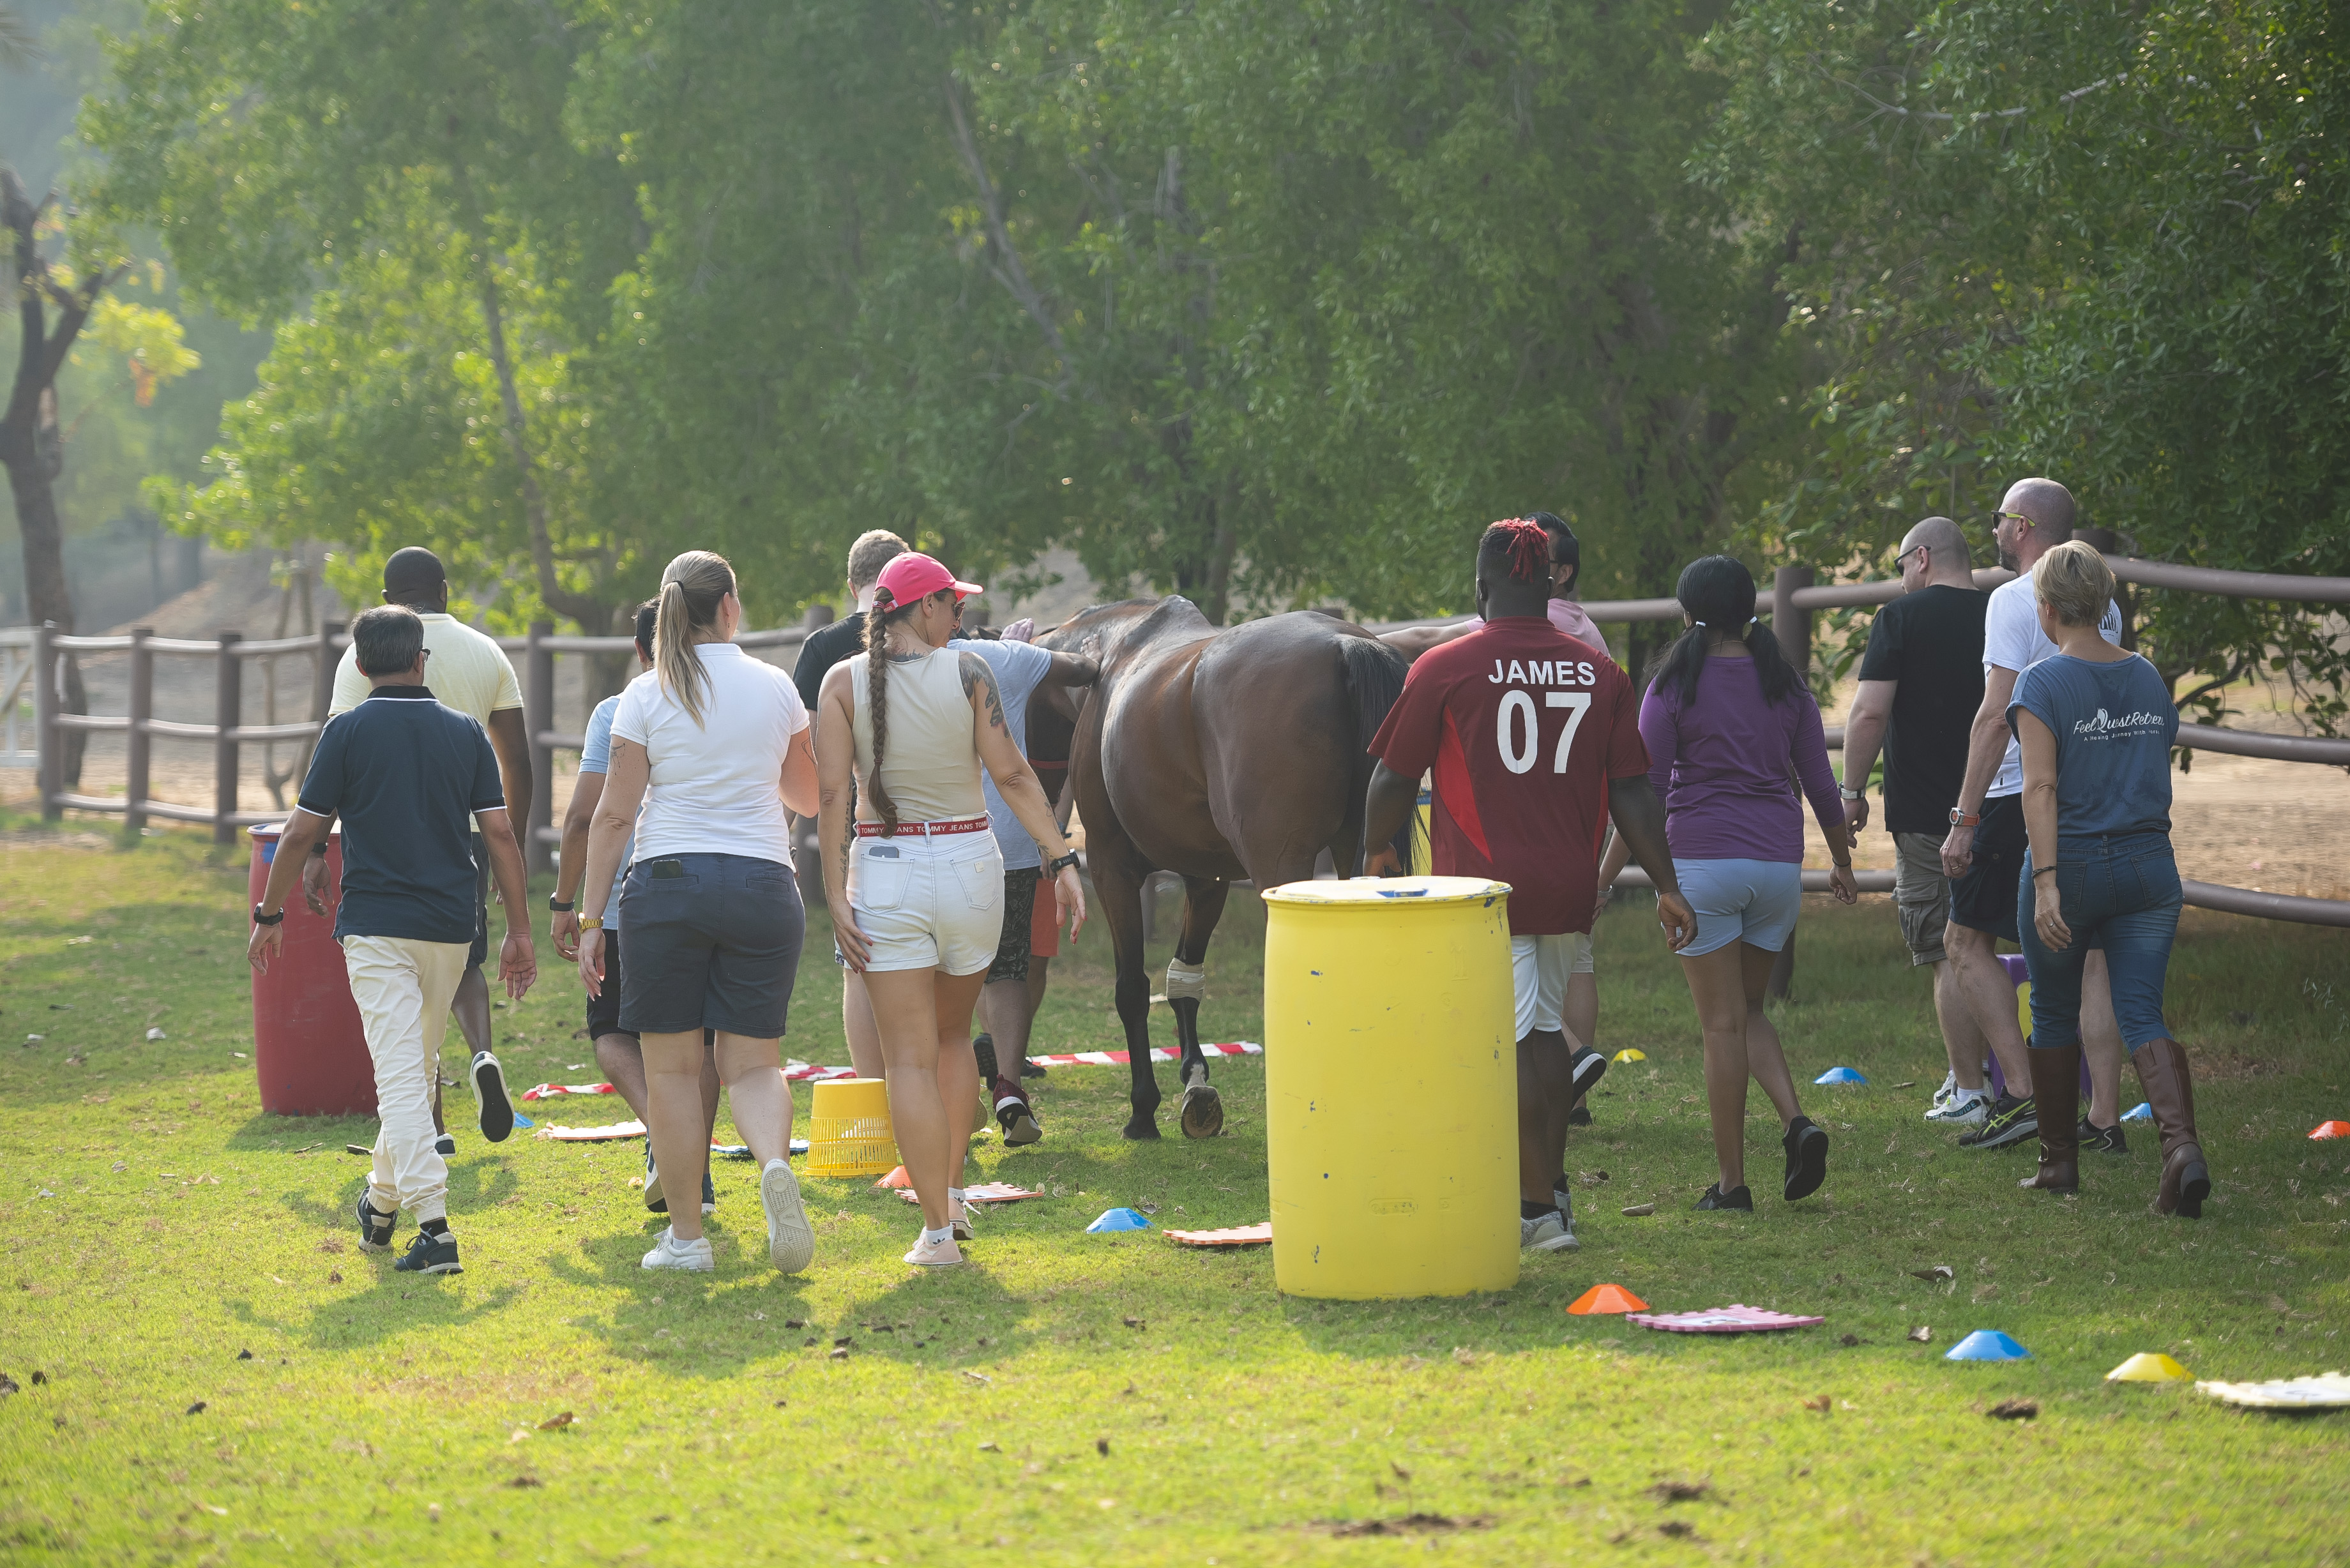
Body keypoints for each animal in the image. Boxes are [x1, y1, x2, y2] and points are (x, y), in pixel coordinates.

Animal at [1034, 601, 1410, 1142]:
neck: (1112, 654)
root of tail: (1343, 643)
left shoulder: (1111, 868)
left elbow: (1132, 988)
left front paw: (1143, 1109)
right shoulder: (1206, 878)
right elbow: (1184, 982)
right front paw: (1195, 1086)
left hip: (1281, 870)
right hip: (1359, 859)